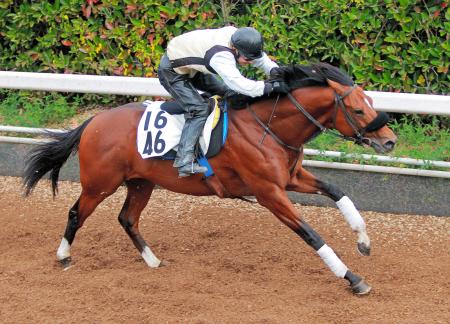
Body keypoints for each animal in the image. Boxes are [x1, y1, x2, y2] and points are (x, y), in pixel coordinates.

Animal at [23, 63, 398, 294]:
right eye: (359, 109)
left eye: (370, 101)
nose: (389, 141)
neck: (269, 127)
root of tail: (93, 122)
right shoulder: (269, 193)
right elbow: (311, 234)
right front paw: (353, 278)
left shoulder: (290, 179)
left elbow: (336, 190)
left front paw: (364, 241)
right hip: (100, 184)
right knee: (76, 213)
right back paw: (64, 256)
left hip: (142, 183)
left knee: (127, 218)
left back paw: (153, 260)